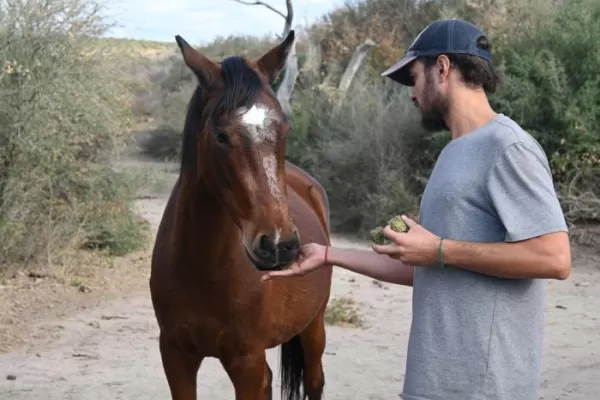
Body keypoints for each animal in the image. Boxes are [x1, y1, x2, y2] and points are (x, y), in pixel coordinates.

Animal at [146, 28, 332, 400]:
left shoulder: (246, 363)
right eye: (220, 134)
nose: (279, 245)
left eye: (285, 130)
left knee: (315, 381)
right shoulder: (176, 356)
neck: (202, 267)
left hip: (313, 327)